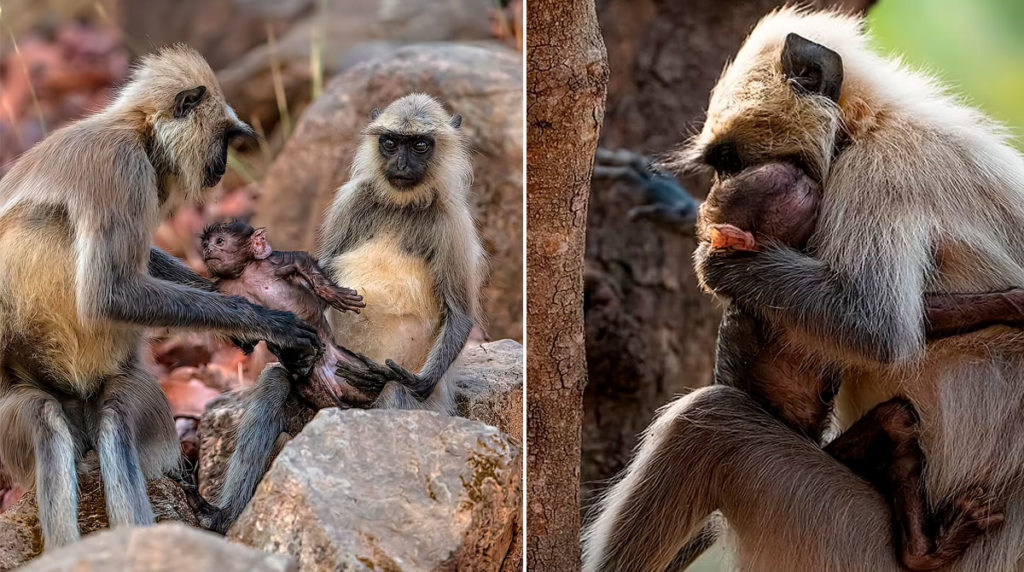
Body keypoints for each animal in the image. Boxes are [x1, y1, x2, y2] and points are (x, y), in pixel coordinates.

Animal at [0, 45, 321, 552]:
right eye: (224, 137)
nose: (224, 164)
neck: (132, 127)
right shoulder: (123, 167)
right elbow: (111, 292)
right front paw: (263, 320)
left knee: (95, 423)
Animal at [585, 8, 1024, 572]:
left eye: (730, 161)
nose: (711, 200)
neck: (869, 123)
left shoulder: (881, 172)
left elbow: (879, 329)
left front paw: (720, 263)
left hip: (847, 545)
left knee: (708, 425)